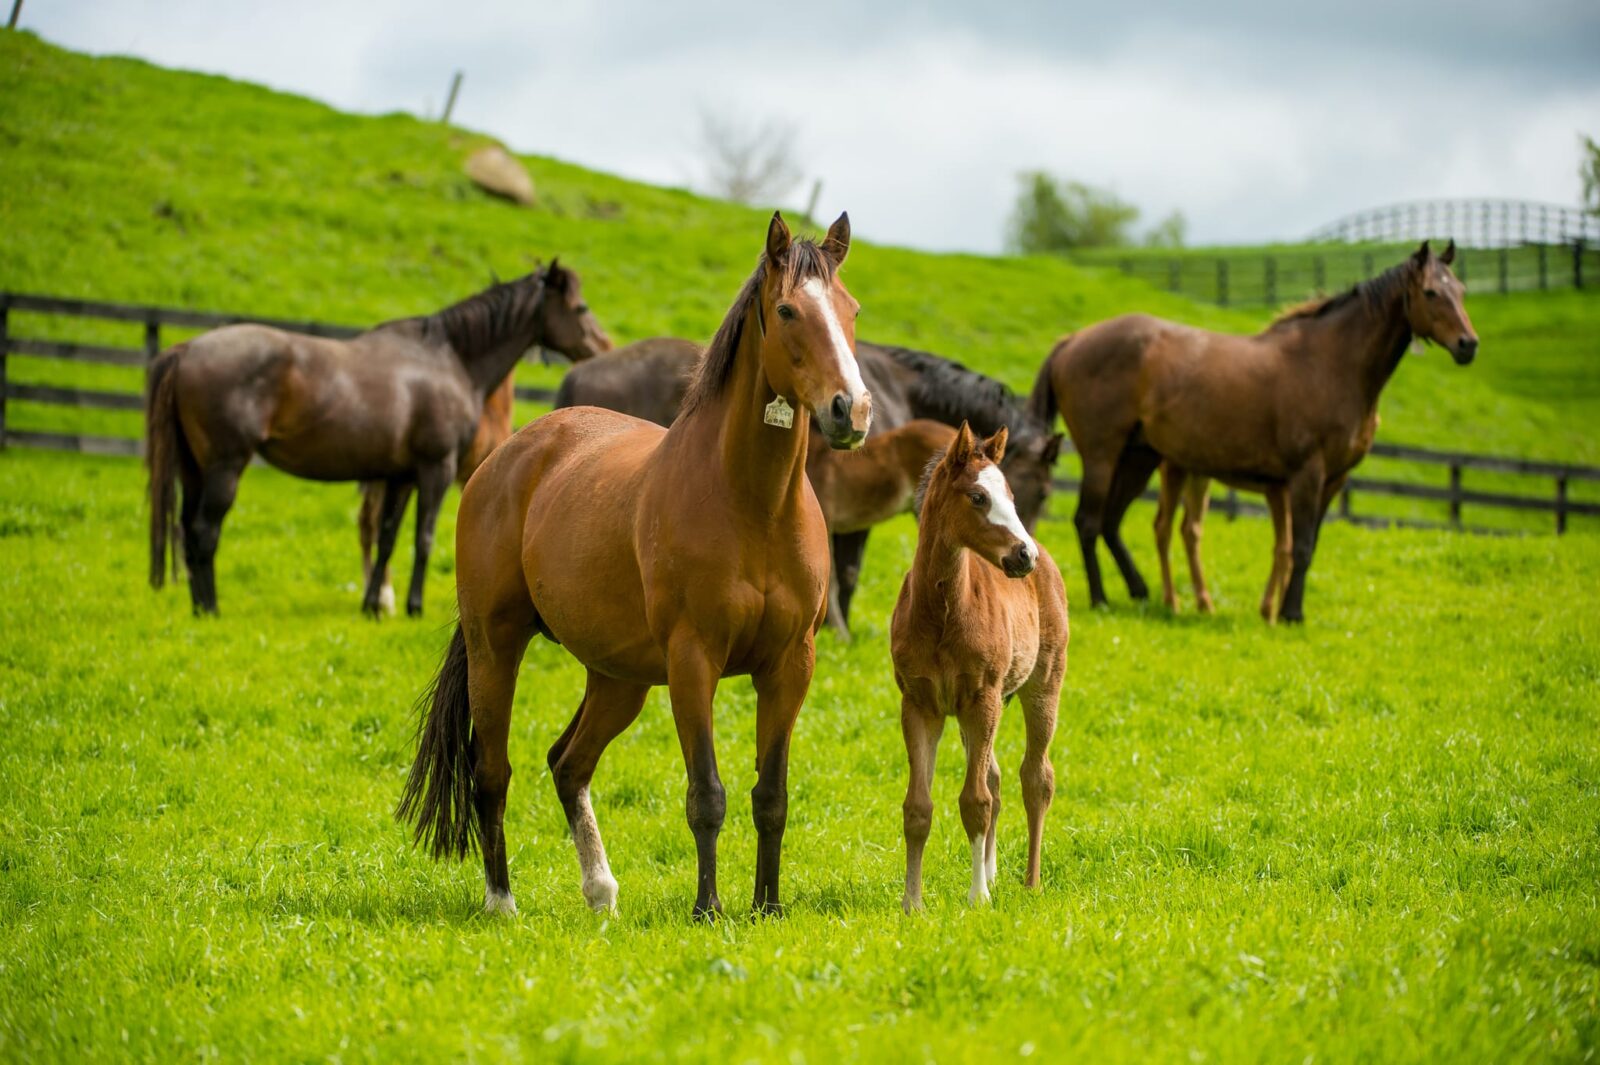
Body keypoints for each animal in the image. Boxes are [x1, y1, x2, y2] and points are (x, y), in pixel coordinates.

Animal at [396, 213, 871, 919]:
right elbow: (707, 795)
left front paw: (767, 907)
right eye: (788, 309)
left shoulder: (791, 665)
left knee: (568, 763)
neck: (752, 505)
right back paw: (502, 901)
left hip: (618, 679)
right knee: (492, 770)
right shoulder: (693, 662)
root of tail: (509, 456)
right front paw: (708, 910)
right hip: (495, 645)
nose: (852, 410)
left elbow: (771, 797)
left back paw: (601, 892)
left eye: (851, 309)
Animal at [891, 422, 1068, 911]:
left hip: (1041, 688)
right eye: (977, 497)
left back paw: (1030, 881)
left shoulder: (982, 697)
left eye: (1010, 494)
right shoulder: (920, 705)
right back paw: (991, 870)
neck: (942, 613)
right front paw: (912, 903)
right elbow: (918, 807)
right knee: (996, 775)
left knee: (1035, 778)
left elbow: (975, 802)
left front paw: (978, 899)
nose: (1023, 555)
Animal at [1154, 412, 1380, 622]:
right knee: (1163, 526)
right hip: (1174, 468)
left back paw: (1205, 603)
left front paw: (1274, 609)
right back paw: (1171, 601)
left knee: (1190, 529)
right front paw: (1275, 611)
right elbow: (1284, 548)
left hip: (1199, 475)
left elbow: (1286, 547)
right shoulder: (1277, 491)